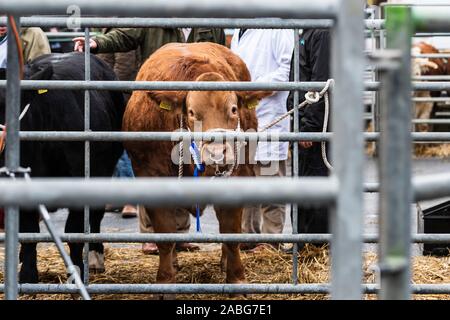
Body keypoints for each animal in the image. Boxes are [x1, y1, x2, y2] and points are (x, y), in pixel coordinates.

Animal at [0, 52, 124, 282]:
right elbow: (28, 232)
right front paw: (28, 274)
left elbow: (74, 231)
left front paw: (77, 271)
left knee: (96, 215)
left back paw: (95, 255)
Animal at [122, 42, 270, 290]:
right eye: (191, 113)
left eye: (233, 109)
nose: (217, 153)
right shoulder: (151, 175)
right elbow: (165, 237)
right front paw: (165, 281)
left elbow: (231, 232)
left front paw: (237, 279)